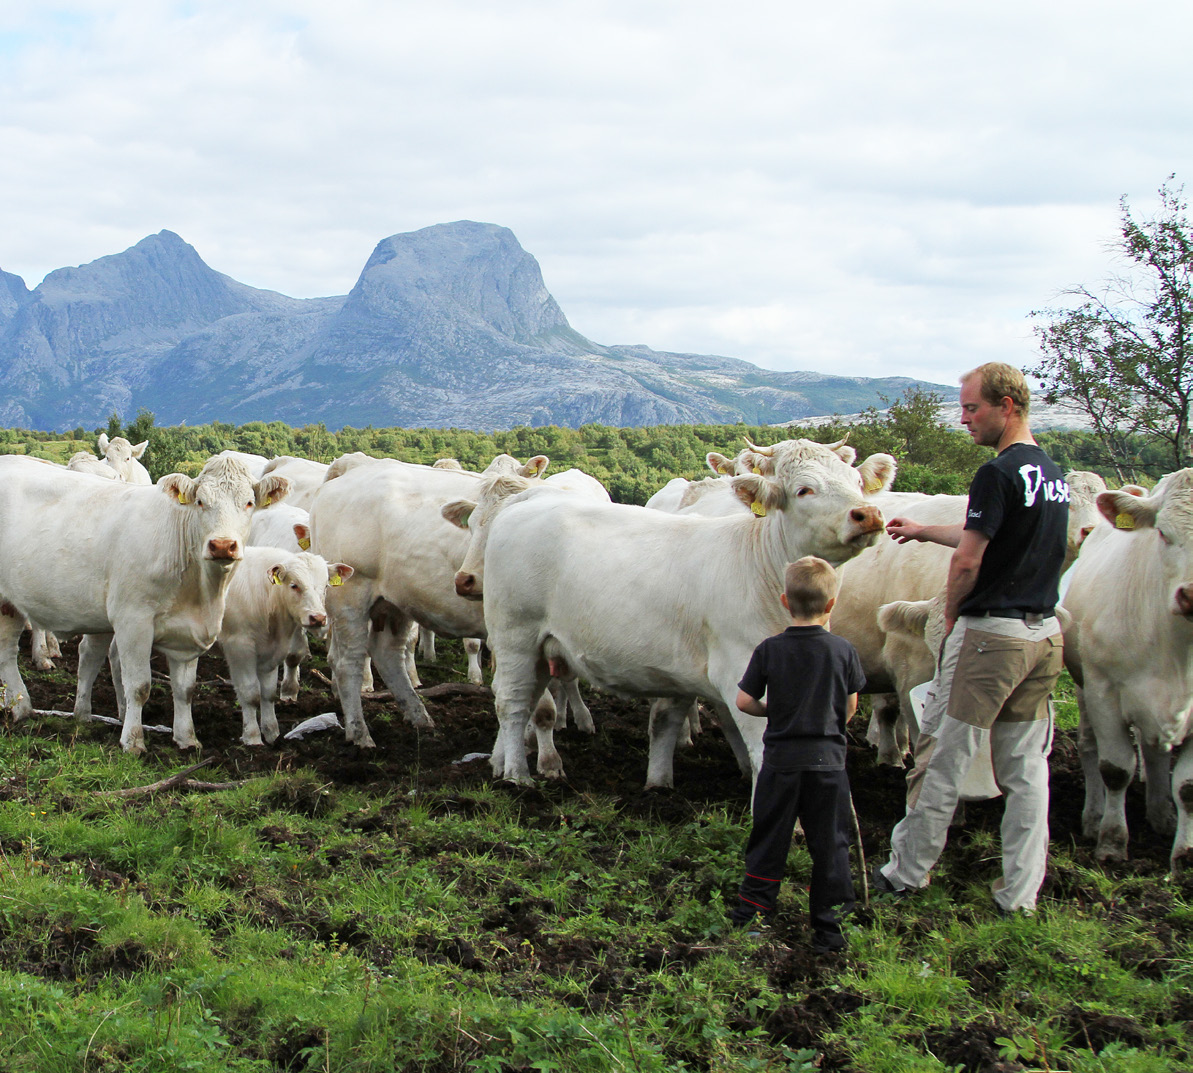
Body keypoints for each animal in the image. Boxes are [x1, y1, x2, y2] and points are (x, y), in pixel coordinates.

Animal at [0, 458, 287, 749]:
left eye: (249, 503)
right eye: (200, 501)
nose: (222, 545)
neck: (201, 594)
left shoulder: (187, 630)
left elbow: (185, 689)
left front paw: (187, 738)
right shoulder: (133, 621)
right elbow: (139, 686)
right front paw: (133, 741)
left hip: (13, 606)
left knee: (11, 653)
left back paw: (27, 710)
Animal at [310, 448, 546, 744]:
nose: (468, 579)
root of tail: (354, 466)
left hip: (393, 602)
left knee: (387, 653)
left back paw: (419, 717)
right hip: (350, 597)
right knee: (348, 663)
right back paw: (360, 733)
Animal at [477, 439, 897, 787]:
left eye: (857, 482)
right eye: (804, 489)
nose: (868, 513)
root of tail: (529, 498)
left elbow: (669, 723)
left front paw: (659, 784)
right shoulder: (742, 670)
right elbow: (762, 749)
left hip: (542, 646)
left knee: (524, 699)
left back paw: (499, 762)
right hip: (515, 635)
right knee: (512, 703)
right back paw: (517, 775)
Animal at [1068, 475, 1193, 868]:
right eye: (1163, 533)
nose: (1192, 595)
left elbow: (1188, 786)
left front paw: (1184, 858)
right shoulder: (1104, 689)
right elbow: (1115, 769)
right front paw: (1110, 843)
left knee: (1155, 754)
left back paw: (1161, 814)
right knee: (1090, 747)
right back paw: (1093, 818)